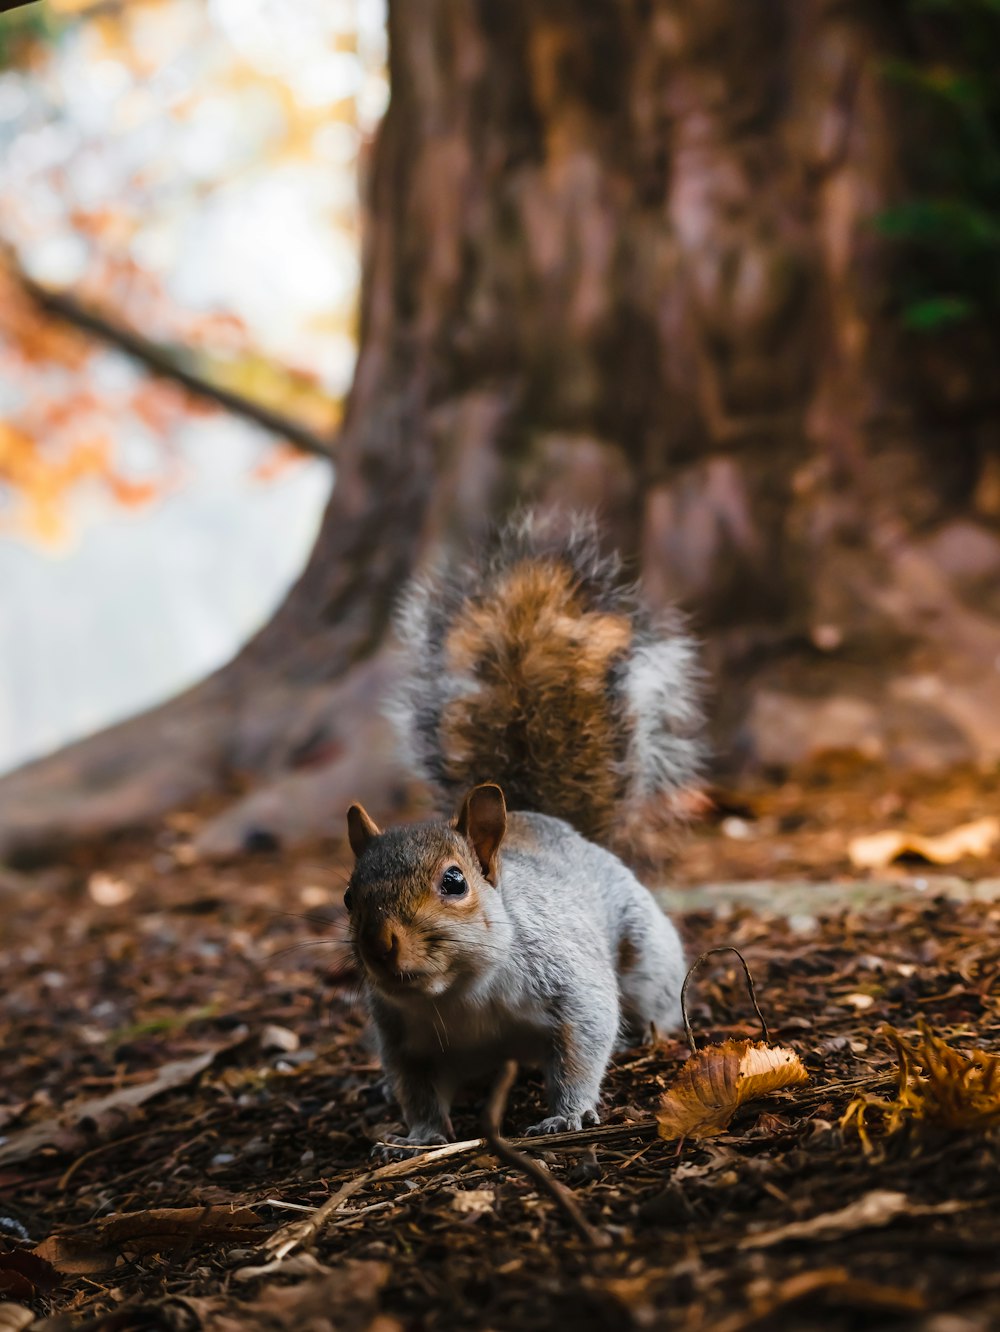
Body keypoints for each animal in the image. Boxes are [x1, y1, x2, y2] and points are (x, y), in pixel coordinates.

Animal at [343, 508, 703, 1145]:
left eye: (454, 882)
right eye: (346, 898)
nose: (379, 945)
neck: (458, 996)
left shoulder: (569, 981)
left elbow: (586, 1040)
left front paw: (567, 1114)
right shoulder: (402, 1038)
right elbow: (415, 1088)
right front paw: (420, 1137)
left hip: (645, 951)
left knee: (650, 996)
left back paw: (651, 1032)